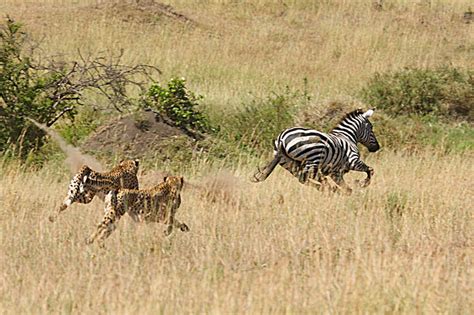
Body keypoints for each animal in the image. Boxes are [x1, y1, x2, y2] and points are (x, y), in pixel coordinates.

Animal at [252, 108, 382, 194]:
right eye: (371, 128)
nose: (377, 147)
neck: (347, 137)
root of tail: (281, 138)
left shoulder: (335, 172)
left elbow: (346, 187)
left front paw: (346, 190)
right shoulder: (353, 161)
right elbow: (370, 170)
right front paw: (361, 183)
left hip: (288, 163)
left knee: (303, 178)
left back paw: (327, 187)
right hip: (313, 158)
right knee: (306, 176)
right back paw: (327, 187)